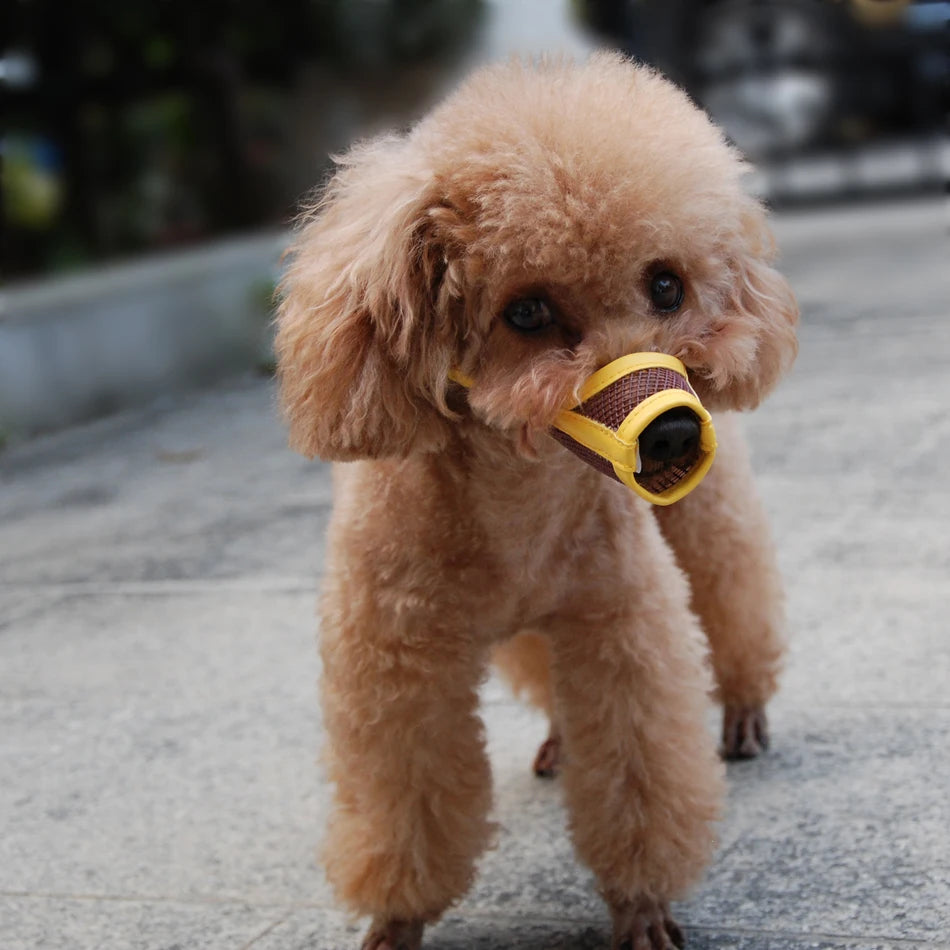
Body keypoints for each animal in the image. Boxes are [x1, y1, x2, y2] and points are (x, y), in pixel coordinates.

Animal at [278, 54, 800, 950]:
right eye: (526, 311)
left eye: (666, 286)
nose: (669, 435)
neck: (516, 505)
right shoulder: (398, 659)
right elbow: (404, 798)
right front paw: (397, 917)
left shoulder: (619, 623)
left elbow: (639, 772)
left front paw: (641, 906)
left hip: (702, 518)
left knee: (734, 595)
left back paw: (741, 712)